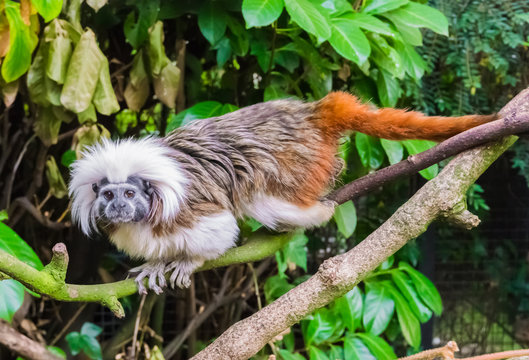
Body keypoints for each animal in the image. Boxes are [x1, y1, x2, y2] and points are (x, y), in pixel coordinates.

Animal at [67, 91, 496, 294]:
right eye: (108, 196)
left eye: (129, 194)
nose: (118, 207)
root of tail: (311, 113)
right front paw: (157, 265)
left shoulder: (189, 209)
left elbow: (220, 231)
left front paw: (187, 262)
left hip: (300, 165)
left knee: (262, 196)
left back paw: (315, 213)